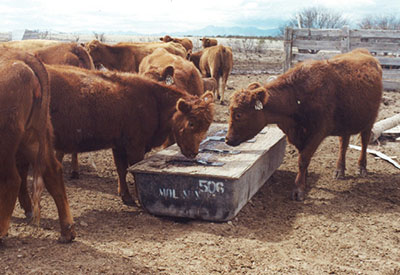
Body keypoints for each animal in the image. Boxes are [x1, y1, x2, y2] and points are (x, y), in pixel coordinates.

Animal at [0, 49, 74, 244]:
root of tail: (21, 57)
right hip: (33, 137)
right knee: (53, 171)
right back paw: (67, 231)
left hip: (7, 142)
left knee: (12, 179)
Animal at [44, 65, 216, 207]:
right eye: (191, 123)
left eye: (207, 126)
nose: (193, 153)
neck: (154, 100)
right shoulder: (135, 147)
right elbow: (132, 169)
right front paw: (138, 198)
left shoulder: (119, 145)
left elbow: (122, 169)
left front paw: (125, 196)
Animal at [227, 48, 382, 202]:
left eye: (238, 114)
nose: (228, 139)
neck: (297, 97)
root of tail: (364, 52)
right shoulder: (296, 134)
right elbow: (302, 155)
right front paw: (305, 179)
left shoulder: (318, 132)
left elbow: (303, 158)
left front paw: (298, 189)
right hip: (346, 122)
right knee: (343, 144)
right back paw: (339, 170)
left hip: (370, 120)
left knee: (364, 141)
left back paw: (361, 167)